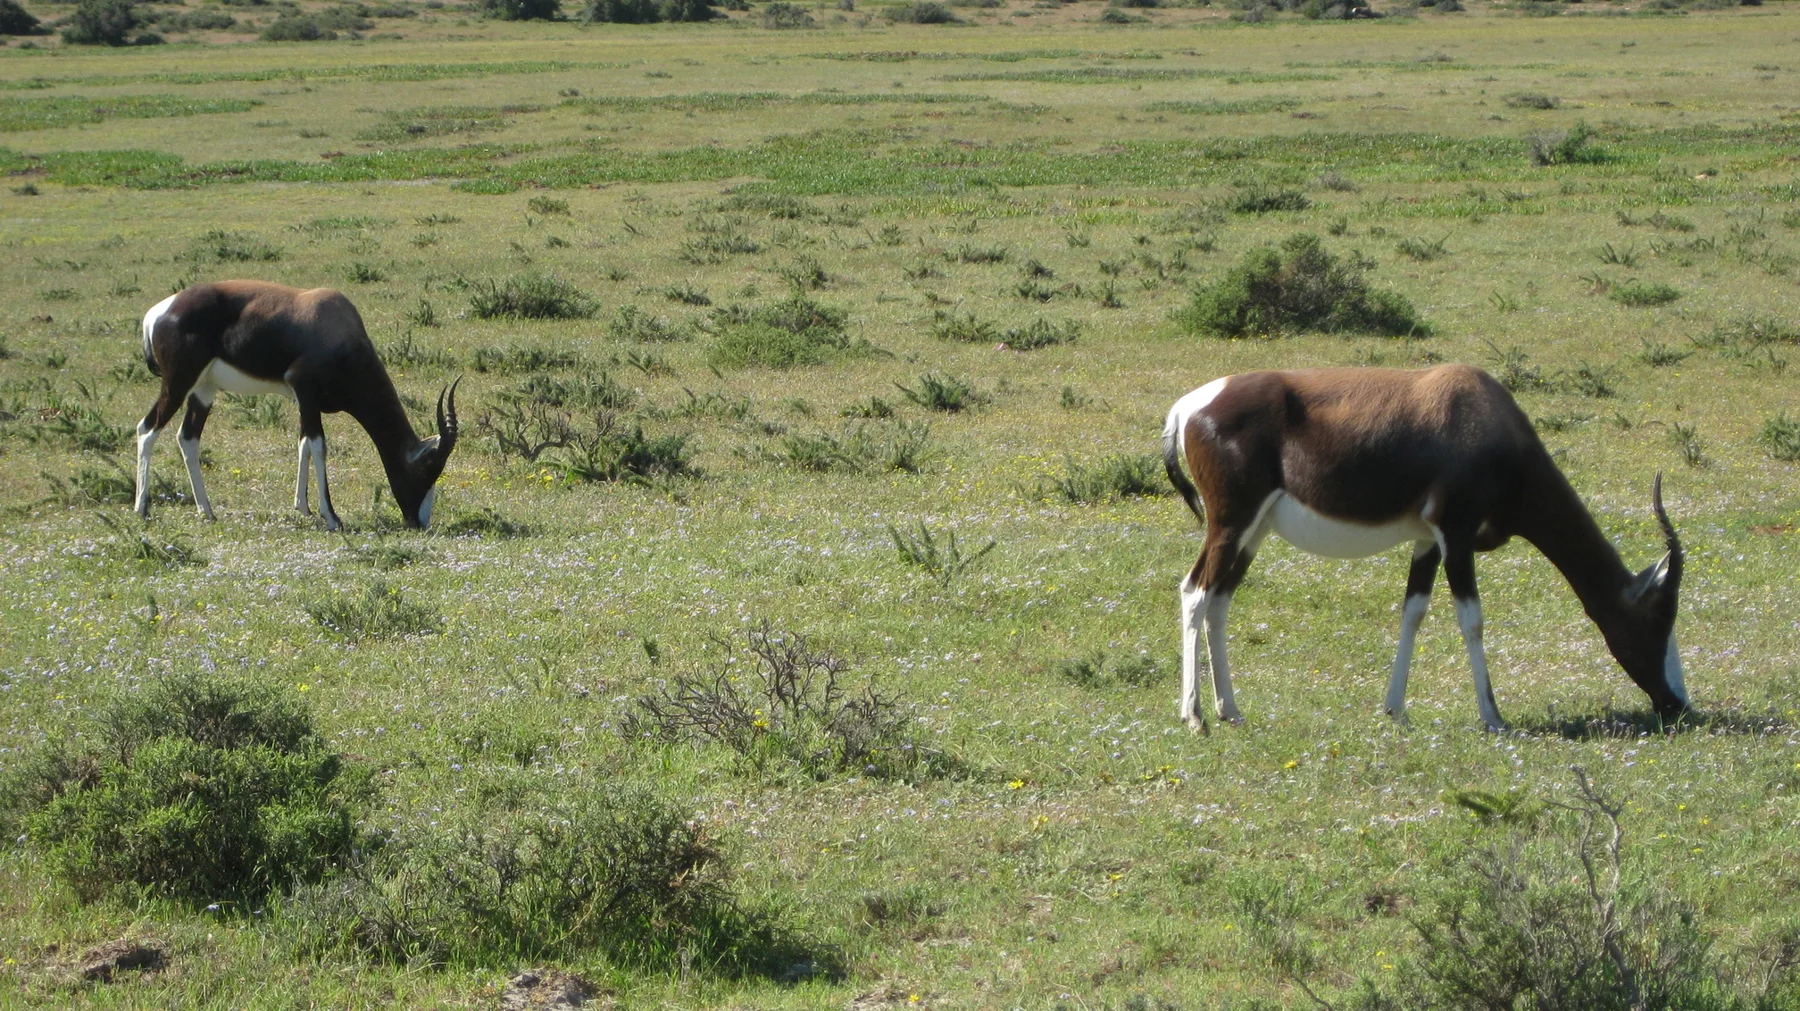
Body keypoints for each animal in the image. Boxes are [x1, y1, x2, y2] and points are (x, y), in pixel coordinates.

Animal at [135, 280, 459, 531]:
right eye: (428, 469)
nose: (419, 523)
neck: (335, 323)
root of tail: (157, 313)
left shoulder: (303, 400)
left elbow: (303, 444)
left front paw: (303, 507)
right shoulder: (305, 392)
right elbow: (318, 445)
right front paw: (332, 517)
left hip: (203, 390)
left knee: (188, 438)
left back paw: (207, 511)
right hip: (178, 383)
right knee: (147, 428)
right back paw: (142, 510)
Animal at [1161, 364, 1687, 732]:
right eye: (1659, 618)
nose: (1678, 705)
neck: (1478, 412)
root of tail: (1186, 407)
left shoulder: (1427, 541)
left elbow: (1413, 611)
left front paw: (1395, 709)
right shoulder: (1456, 535)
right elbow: (1471, 619)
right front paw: (1493, 716)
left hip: (1254, 532)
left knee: (1220, 601)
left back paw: (1230, 710)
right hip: (1231, 524)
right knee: (1195, 592)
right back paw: (1194, 717)